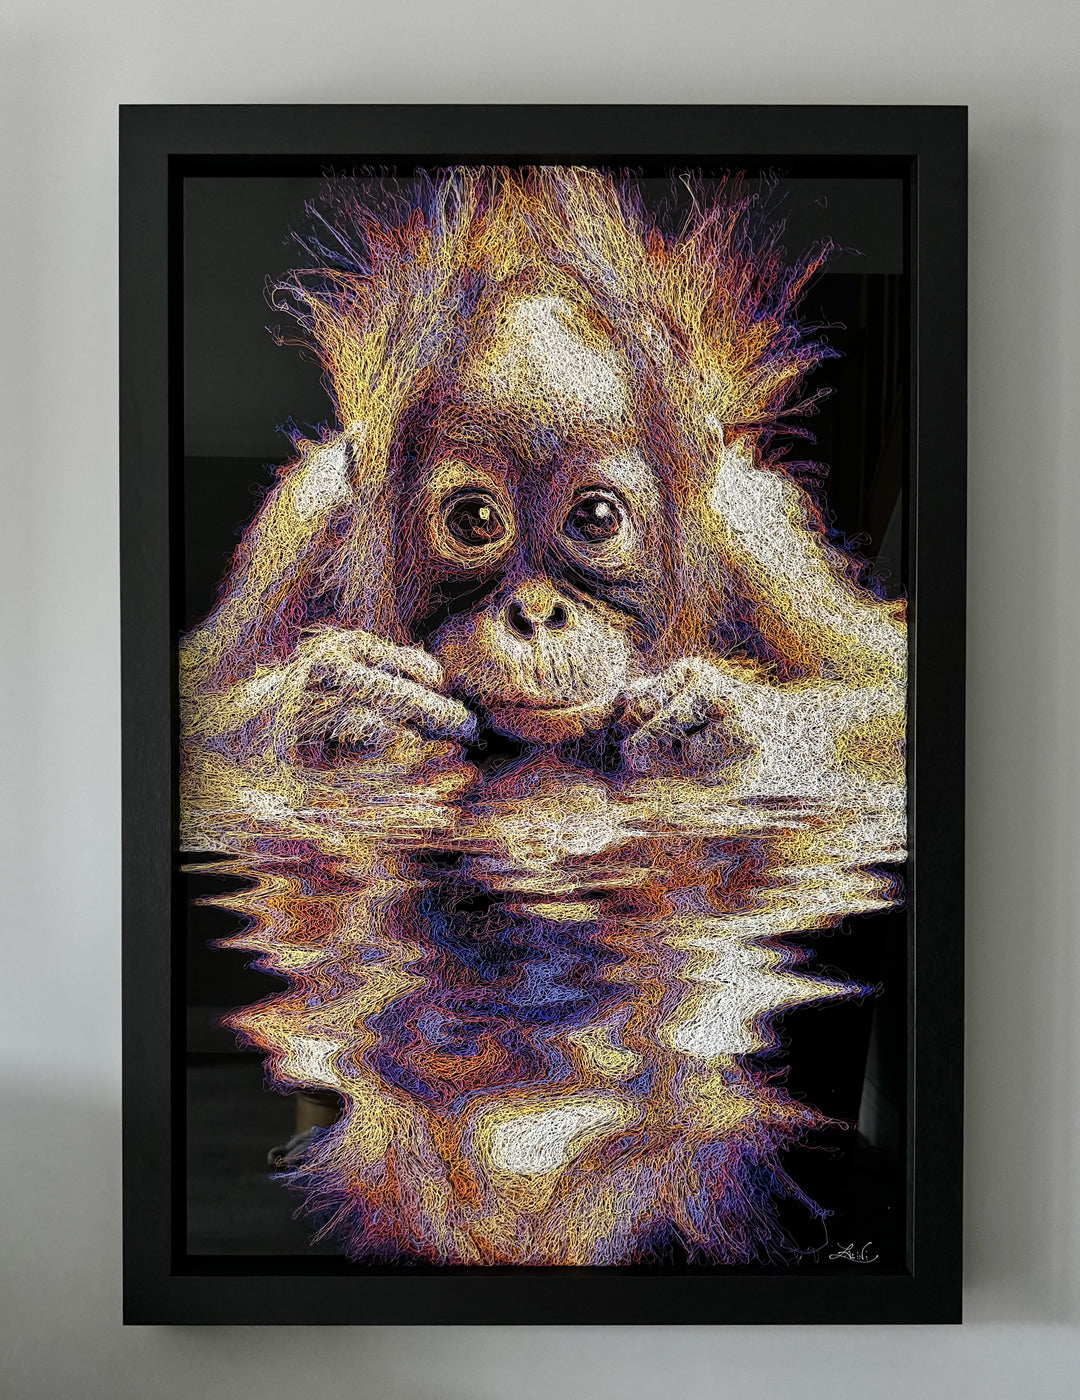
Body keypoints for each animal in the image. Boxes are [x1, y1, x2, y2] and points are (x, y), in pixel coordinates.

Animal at [180, 168, 905, 798]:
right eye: (475, 521)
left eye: (597, 519)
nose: (535, 614)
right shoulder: (303, 520)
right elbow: (195, 697)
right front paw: (344, 701)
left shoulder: (759, 540)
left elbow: (889, 689)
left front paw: (718, 719)